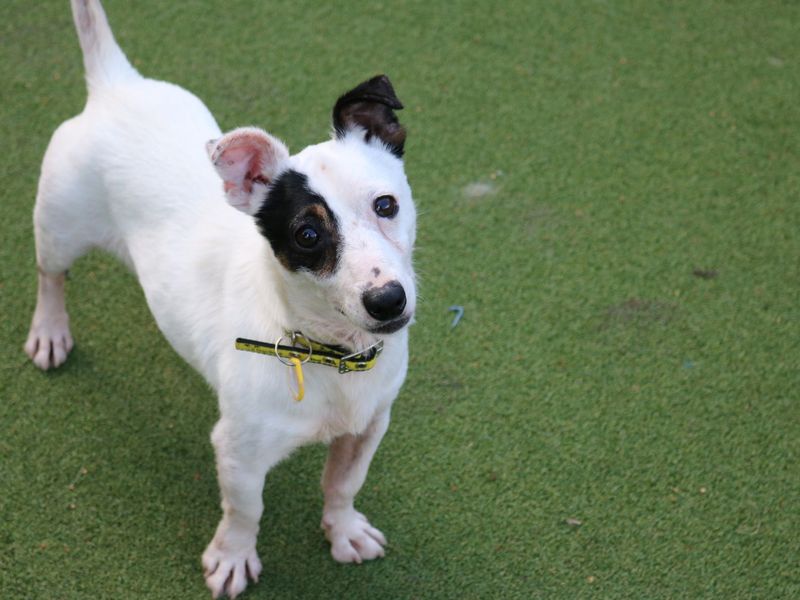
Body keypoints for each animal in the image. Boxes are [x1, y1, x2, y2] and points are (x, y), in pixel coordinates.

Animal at [22, 2, 416, 596]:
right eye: (307, 235)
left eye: (386, 205)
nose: (388, 301)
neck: (326, 354)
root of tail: (115, 84)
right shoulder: (238, 451)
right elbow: (244, 512)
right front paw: (232, 558)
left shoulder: (369, 426)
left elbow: (344, 484)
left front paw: (344, 531)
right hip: (58, 225)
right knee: (51, 276)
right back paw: (49, 331)